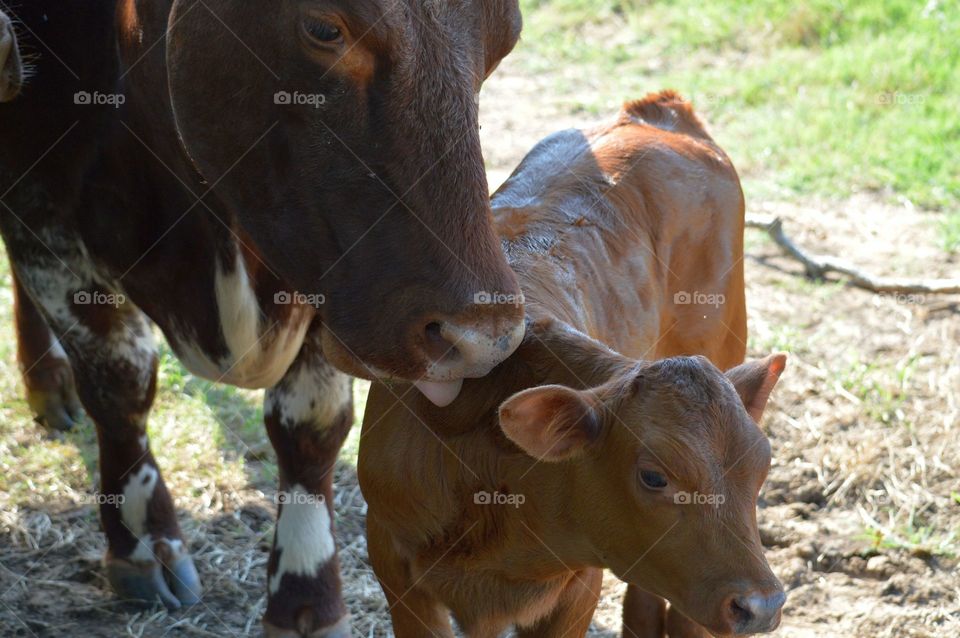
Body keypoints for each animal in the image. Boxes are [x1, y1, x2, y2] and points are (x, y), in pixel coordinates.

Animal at [360, 91, 788, 638]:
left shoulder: (580, 583)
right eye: (654, 476)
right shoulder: (392, 558)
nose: (763, 604)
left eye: (762, 466)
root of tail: (659, 113)